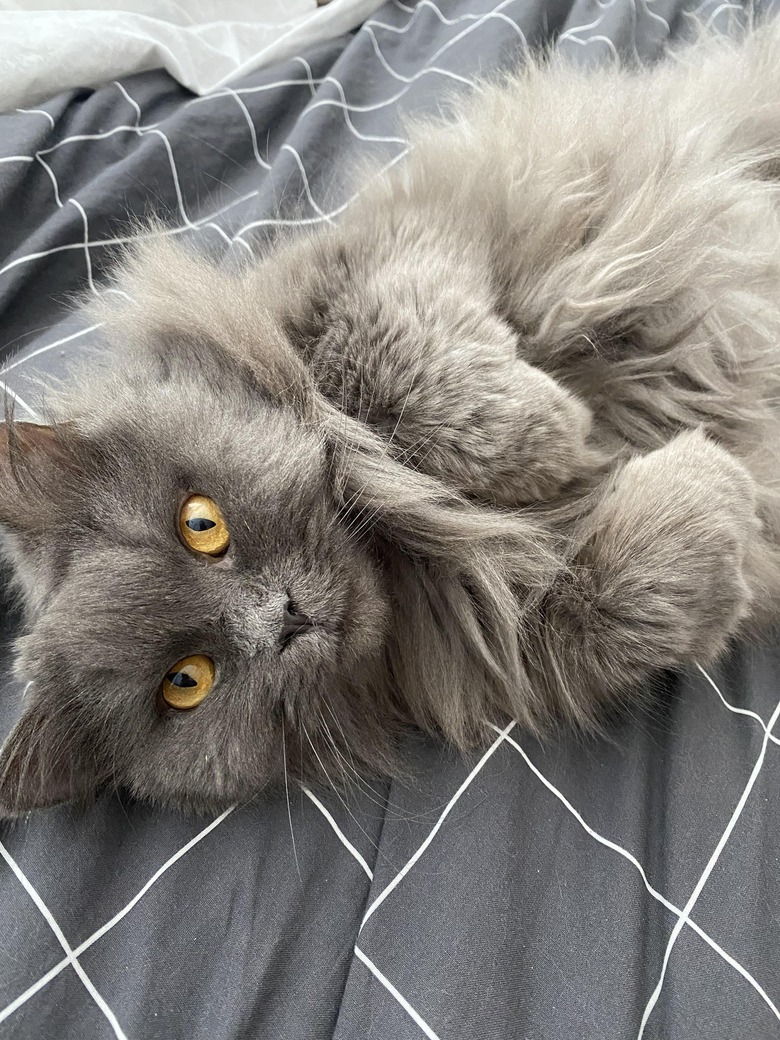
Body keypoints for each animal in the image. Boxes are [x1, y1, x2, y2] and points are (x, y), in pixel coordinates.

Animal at [1, 14, 780, 811]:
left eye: (200, 523)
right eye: (187, 683)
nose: (283, 618)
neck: (404, 536)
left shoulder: (389, 249)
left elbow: (384, 353)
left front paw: (556, 431)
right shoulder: (528, 638)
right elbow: (623, 602)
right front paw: (710, 475)